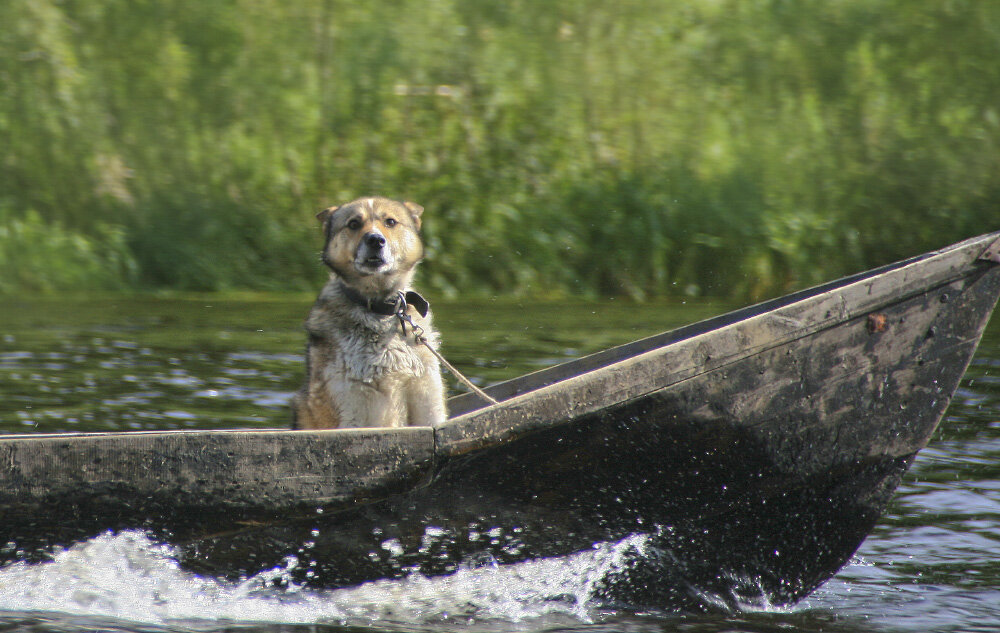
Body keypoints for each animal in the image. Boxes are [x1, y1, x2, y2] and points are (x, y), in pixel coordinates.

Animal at [290, 195, 446, 428]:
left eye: (390, 222)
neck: (380, 309)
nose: (375, 240)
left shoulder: (427, 395)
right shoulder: (351, 402)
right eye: (354, 224)